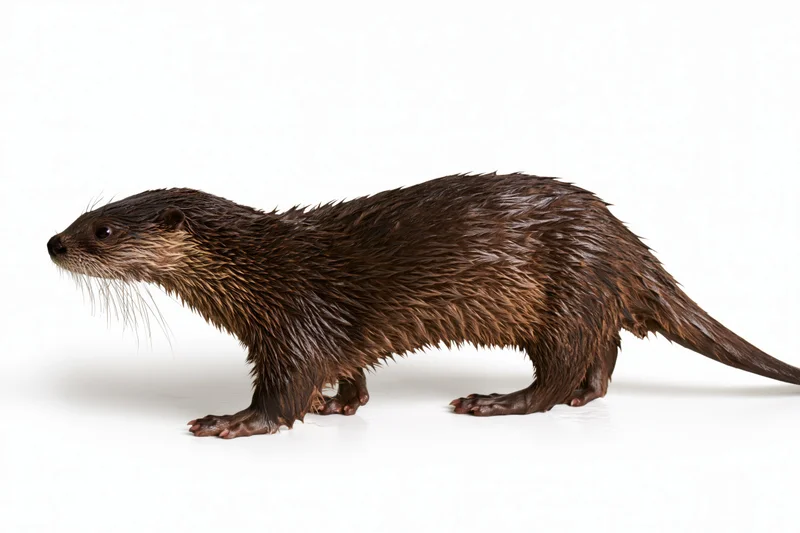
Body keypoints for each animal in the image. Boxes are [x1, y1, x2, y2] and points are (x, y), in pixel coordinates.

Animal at [47, 173, 800, 438]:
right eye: (83, 213)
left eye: (102, 231)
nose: (53, 242)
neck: (261, 273)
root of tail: (625, 243)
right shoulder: (316, 330)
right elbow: (348, 372)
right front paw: (340, 404)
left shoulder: (292, 322)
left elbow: (282, 391)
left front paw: (232, 421)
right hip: (586, 297)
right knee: (602, 354)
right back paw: (580, 394)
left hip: (567, 294)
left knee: (559, 369)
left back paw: (497, 402)